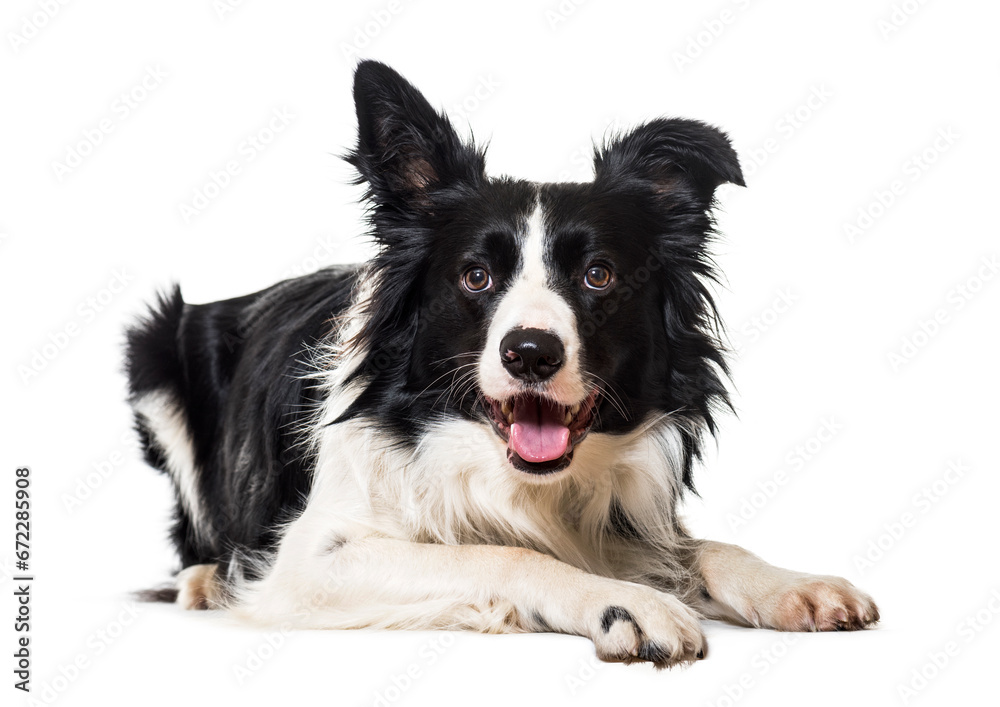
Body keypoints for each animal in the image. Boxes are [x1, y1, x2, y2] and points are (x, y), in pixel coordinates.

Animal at [125, 62, 876, 668]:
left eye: (598, 274)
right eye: (476, 276)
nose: (531, 352)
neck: (511, 478)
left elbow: (701, 546)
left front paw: (790, 584)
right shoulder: (309, 560)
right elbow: (501, 551)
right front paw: (626, 602)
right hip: (154, 353)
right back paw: (203, 580)